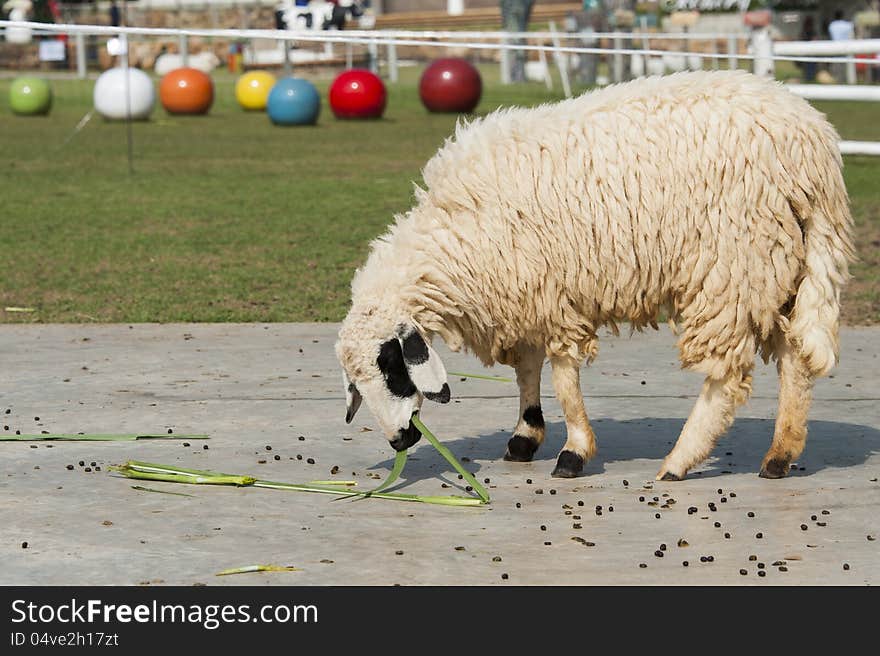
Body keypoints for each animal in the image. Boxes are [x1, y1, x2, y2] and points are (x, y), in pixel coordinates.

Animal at [336, 70, 852, 482]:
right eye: (356, 383)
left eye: (391, 368)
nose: (400, 442)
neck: (456, 232)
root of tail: (813, 146)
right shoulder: (525, 291)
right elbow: (528, 367)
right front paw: (525, 435)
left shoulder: (554, 292)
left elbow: (564, 377)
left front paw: (574, 451)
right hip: (783, 267)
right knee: (795, 358)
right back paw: (780, 453)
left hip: (731, 269)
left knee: (727, 374)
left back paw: (679, 460)